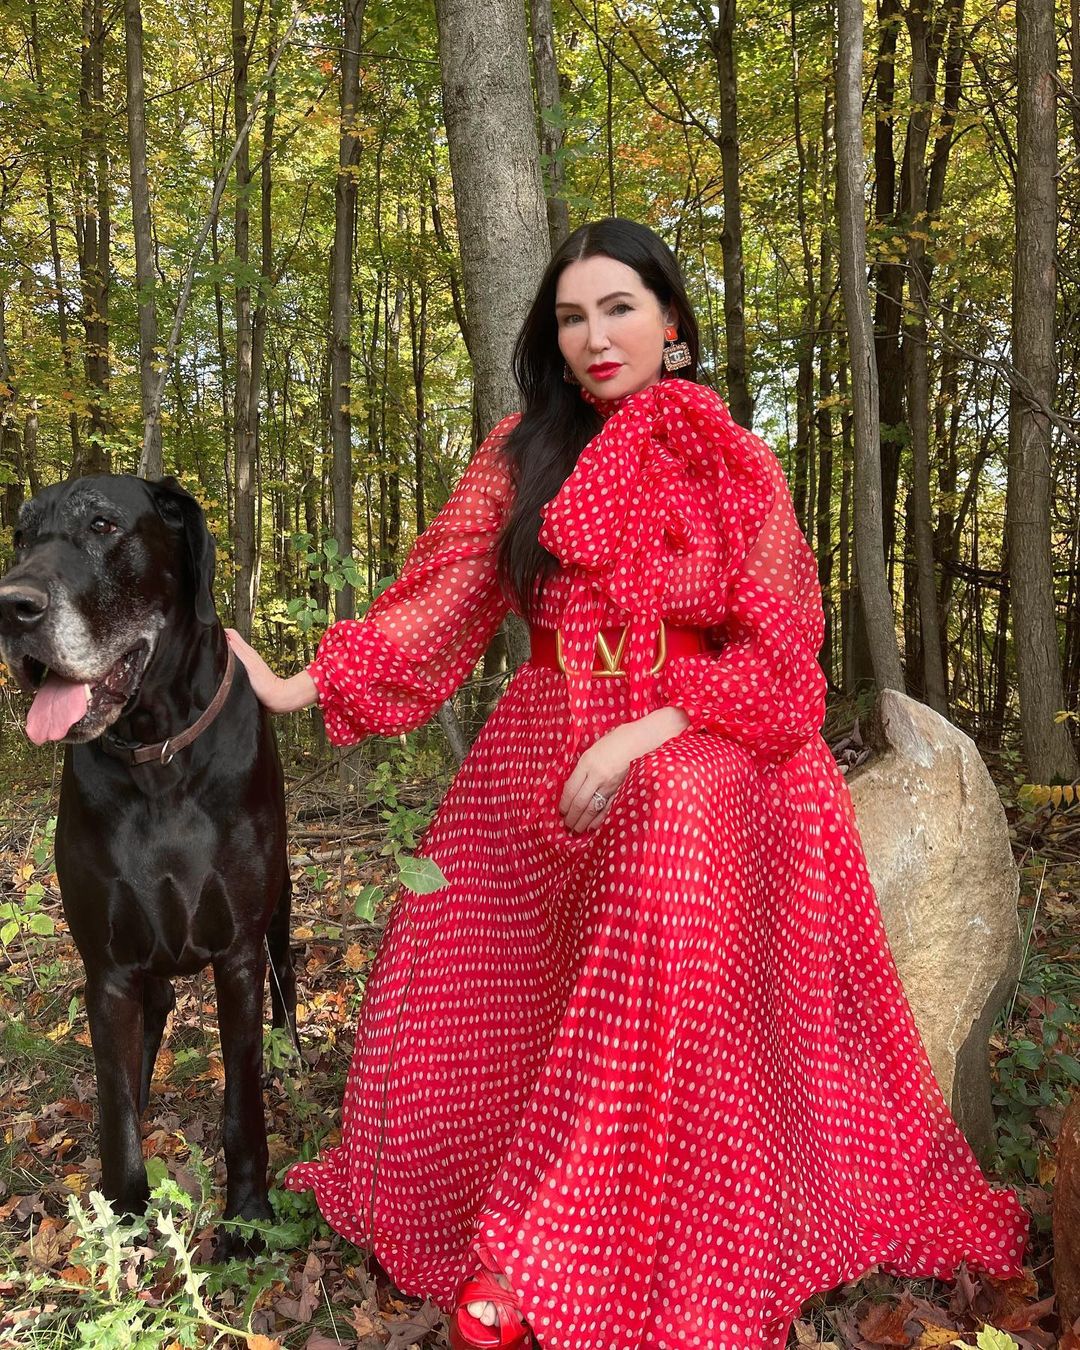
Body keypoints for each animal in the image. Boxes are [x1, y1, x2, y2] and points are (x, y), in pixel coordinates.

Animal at [0, 474, 294, 1256]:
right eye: (21, 535)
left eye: (104, 525)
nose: (11, 606)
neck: (157, 755)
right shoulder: (108, 968)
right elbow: (115, 1110)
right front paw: (124, 1216)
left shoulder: (238, 954)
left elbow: (241, 1098)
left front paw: (248, 1216)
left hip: (280, 916)